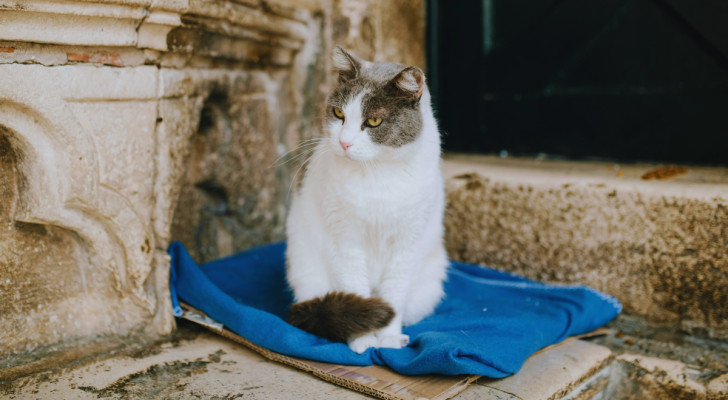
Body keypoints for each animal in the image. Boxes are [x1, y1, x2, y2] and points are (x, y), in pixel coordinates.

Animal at [286, 46, 450, 354]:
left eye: (373, 121)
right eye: (338, 113)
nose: (344, 142)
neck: (377, 173)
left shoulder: (407, 244)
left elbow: (394, 294)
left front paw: (388, 339)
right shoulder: (345, 240)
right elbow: (354, 286)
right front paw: (363, 339)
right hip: (306, 271)